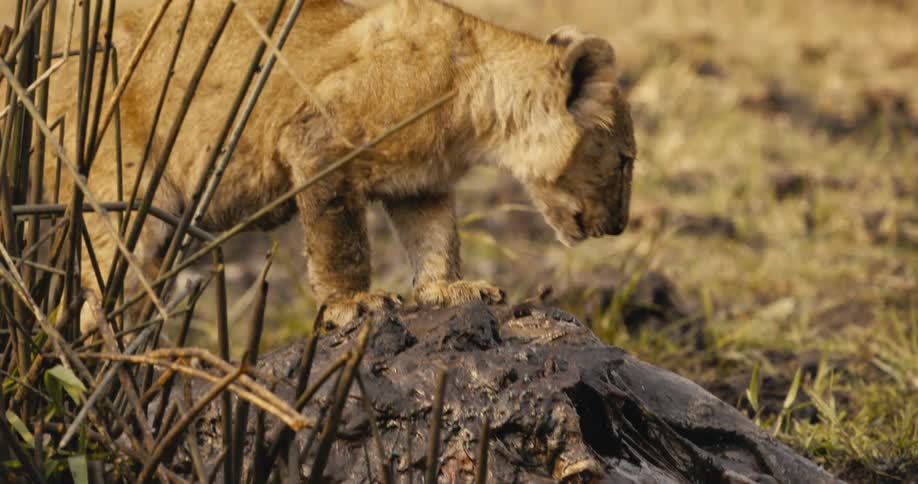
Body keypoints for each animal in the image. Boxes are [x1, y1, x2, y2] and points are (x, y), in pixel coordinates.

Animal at [46, 0, 636, 331]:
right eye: (627, 160)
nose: (620, 227)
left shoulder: (421, 184)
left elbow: (436, 239)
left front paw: (450, 290)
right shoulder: (317, 140)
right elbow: (341, 244)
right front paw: (355, 304)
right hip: (117, 191)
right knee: (98, 291)